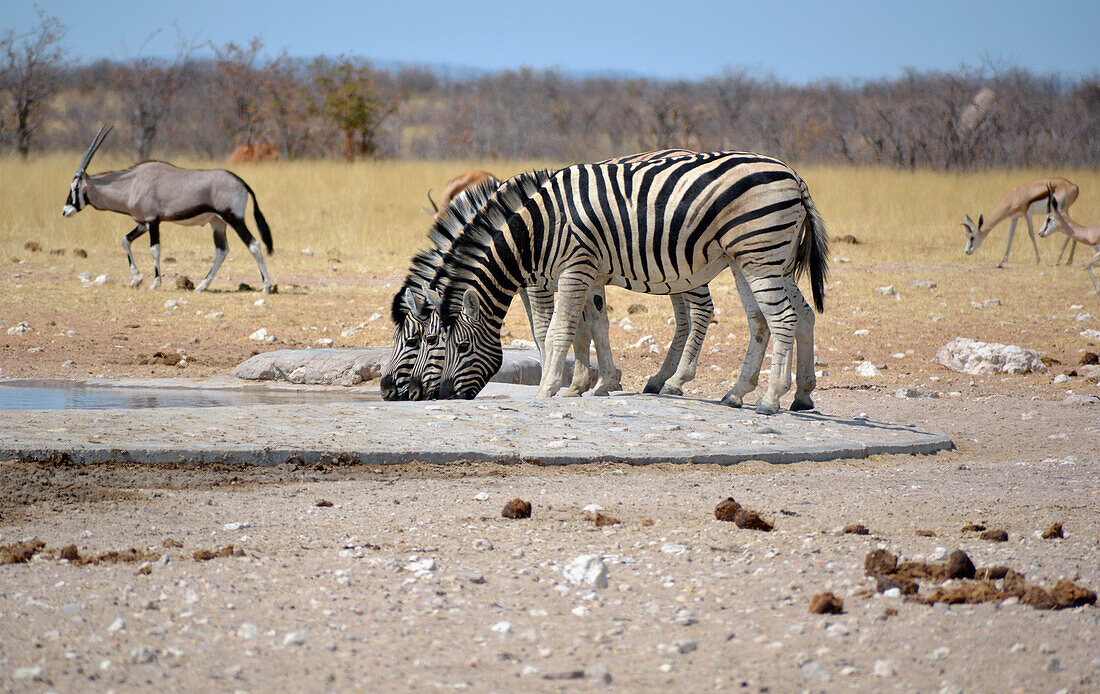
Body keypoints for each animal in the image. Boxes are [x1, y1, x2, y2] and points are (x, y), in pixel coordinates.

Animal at [62, 124, 277, 292]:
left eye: (75, 187)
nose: (65, 211)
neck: (132, 183)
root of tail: (241, 182)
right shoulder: (142, 223)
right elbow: (125, 241)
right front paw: (137, 279)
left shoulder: (153, 221)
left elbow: (155, 250)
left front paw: (155, 283)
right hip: (217, 223)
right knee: (222, 250)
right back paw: (202, 286)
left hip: (234, 219)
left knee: (254, 245)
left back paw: (267, 286)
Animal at [429, 149, 827, 415]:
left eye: (460, 347)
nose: (442, 394)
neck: (539, 229)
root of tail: (794, 175)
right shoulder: (588, 271)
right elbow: (593, 325)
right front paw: (595, 384)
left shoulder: (572, 268)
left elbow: (556, 330)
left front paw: (547, 389)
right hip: (758, 259)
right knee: (776, 318)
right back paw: (774, 393)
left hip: (759, 256)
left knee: (781, 319)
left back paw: (769, 398)